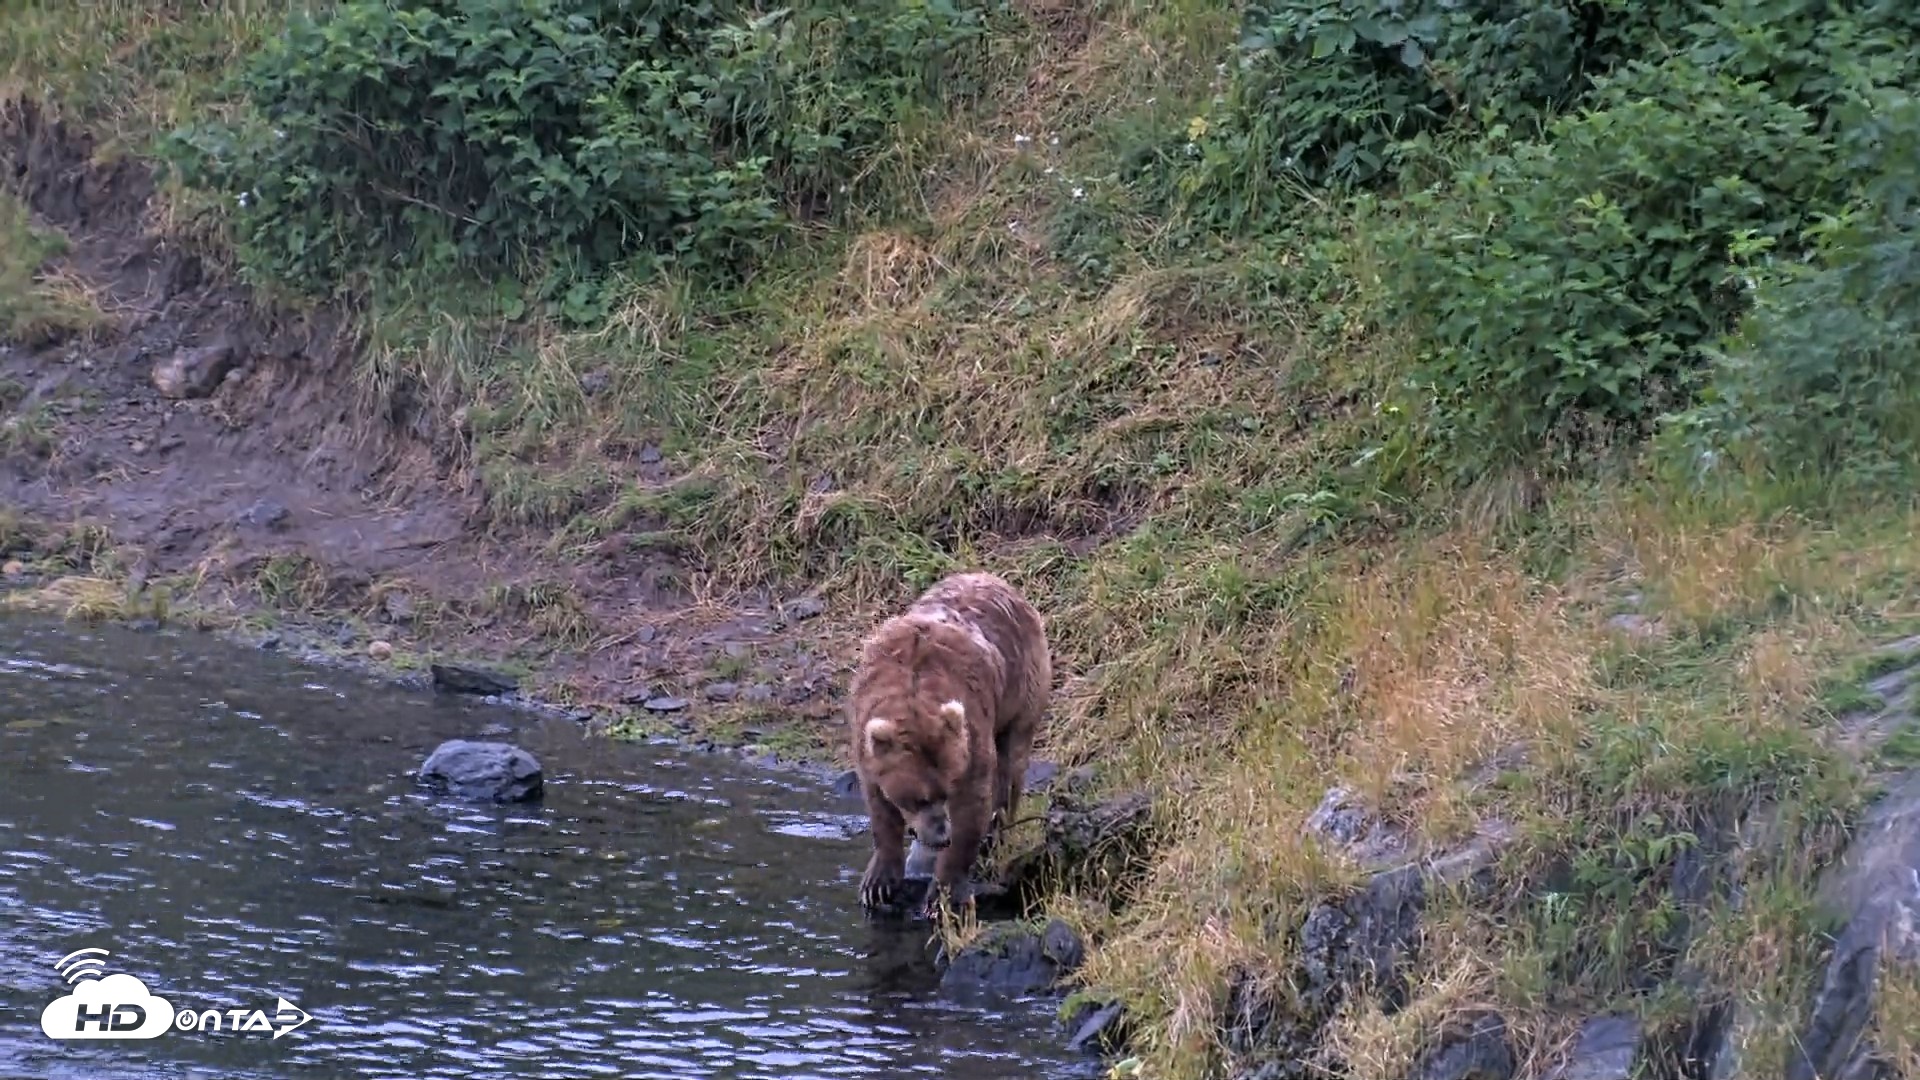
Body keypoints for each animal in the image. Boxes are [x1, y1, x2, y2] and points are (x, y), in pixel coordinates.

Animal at [847, 570, 1052, 918]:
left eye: (947, 789)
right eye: (918, 798)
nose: (942, 836)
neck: (912, 687)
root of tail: (993, 577)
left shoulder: (971, 734)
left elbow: (973, 807)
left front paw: (941, 895)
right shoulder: (867, 744)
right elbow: (879, 807)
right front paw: (877, 884)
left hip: (1023, 684)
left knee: (1011, 763)